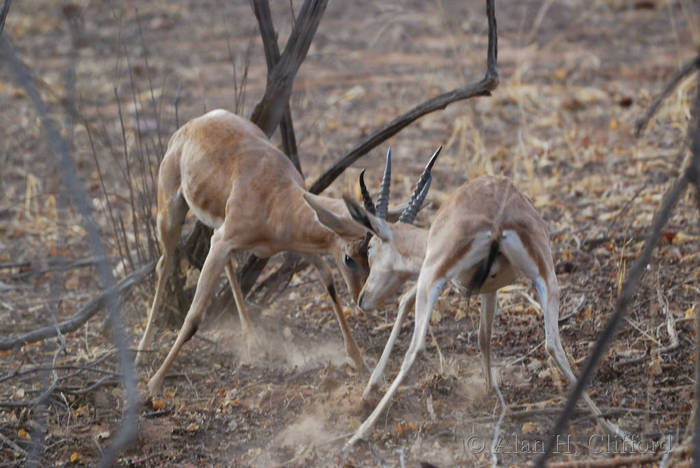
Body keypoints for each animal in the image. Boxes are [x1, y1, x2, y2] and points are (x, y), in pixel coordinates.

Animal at [136, 109, 380, 394]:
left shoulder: (300, 246)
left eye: (371, 254)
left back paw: (252, 339)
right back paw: (141, 350)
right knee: (163, 265)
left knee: (227, 265)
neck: (275, 197)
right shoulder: (225, 240)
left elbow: (328, 281)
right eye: (349, 258)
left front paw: (358, 359)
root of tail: (192, 124)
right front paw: (154, 383)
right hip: (171, 216)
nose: (362, 299)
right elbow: (194, 316)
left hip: (217, 229)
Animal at [334, 165, 584, 446]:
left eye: (370, 249)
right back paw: (601, 419)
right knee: (554, 345)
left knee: (415, 349)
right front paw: (489, 389)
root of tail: (498, 217)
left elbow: (404, 301)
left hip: (432, 277)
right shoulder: (490, 290)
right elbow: (484, 336)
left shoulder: (433, 275)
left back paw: (359, 434)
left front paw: (369, 388)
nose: (362, 298)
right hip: (548, 279)